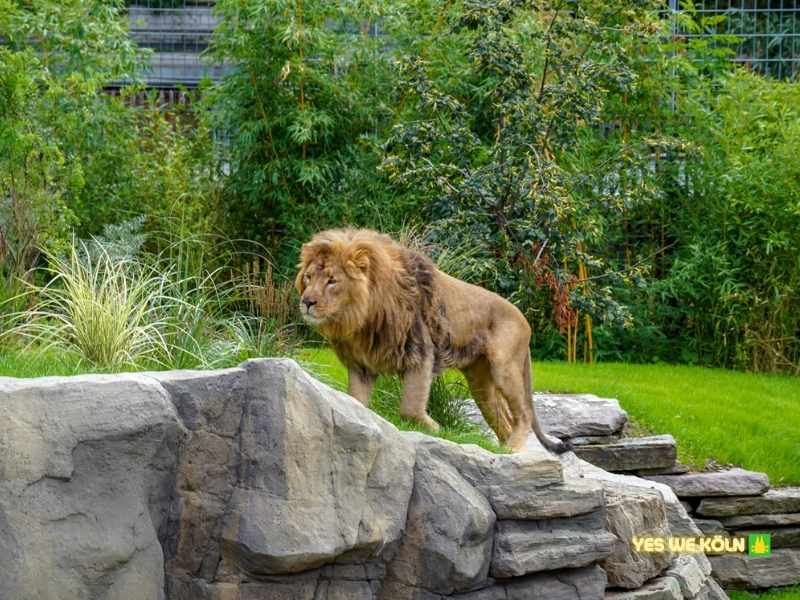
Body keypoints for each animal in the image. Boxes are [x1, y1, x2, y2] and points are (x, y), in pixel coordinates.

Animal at [295, 228, 566, 454]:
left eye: (332, 280)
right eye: (308, 277)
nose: (307, 302)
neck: (362, 319)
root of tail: (525, 320)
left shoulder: (420, 353)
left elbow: (411, 407)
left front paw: (436, 429)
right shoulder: (361, 366)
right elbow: (356, 401)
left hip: (504, 368)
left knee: (524, 415)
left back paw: (512, 448)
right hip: (480, 381)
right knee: (503, 420)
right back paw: (500, 451)